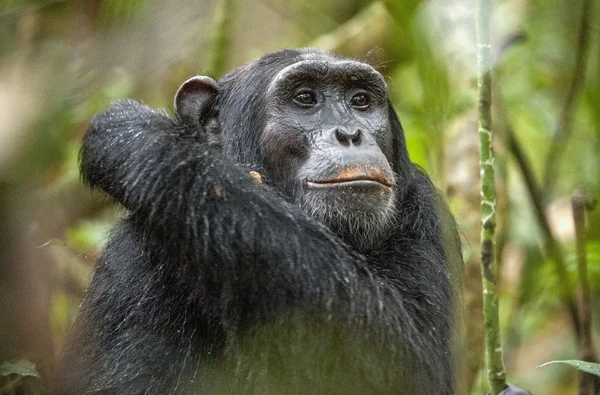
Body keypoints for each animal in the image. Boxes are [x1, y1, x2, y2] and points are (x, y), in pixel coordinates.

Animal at [52, 48, 524, 394]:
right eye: (305, 99)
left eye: (360, 101)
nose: (350, 133)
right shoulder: (133, 259)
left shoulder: (425, 212)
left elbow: (408, 364)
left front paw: (142, 142)